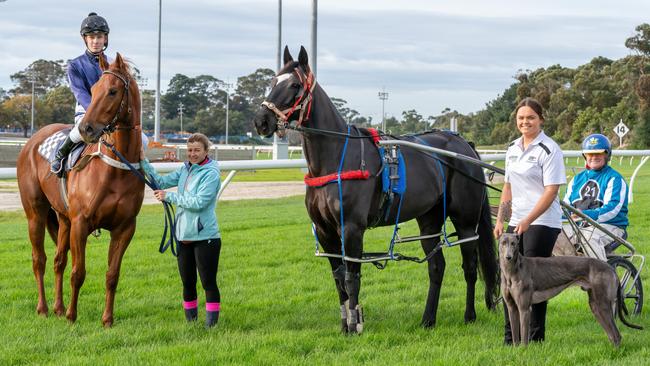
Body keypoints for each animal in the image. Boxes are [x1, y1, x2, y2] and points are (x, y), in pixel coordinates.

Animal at [17, 53, 144, 326]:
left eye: (113, 91)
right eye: (93, 90)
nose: (87, 129)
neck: (115, 170)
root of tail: (32, 140)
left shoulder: (125, 228)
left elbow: (112, 275)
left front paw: (107, 319)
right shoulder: (81, 223)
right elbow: (78, 272)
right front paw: (71, 316)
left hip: (63, 219)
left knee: (58, 261)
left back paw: (57, 306)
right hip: (36, 213)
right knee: (39, 260)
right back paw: (44, 308)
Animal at [253, 45, 496, 332]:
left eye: (294, 84)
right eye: (272, 82)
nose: (261, 121)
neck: (336, 157)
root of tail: (465, 145)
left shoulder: (352, 228)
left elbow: (351, 278)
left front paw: (355, 325)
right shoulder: (325, 231)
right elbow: (338, 279)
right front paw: (345, 325)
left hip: (465, 219)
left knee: (469, 266)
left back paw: (469, 315)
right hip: (429, 219)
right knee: (436, 266)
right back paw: (428, 319)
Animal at [496, 233, 636, 344]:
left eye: (514, 244)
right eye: (503, 243)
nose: (508, 257)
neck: (512, 271)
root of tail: (610, 267)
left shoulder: (524, 309)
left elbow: (524, 340)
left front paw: (524, 352)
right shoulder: (512, 307)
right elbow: (516, 338)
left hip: (602, 304)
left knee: (616, 335)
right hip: (596, 306)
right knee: (612, 335)